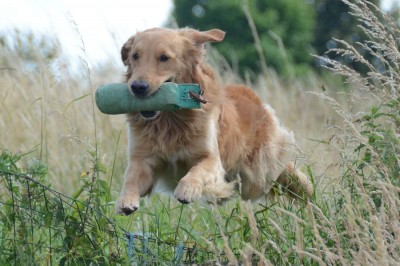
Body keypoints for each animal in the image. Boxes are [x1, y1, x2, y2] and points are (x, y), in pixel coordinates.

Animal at [115, 27, 312, 215]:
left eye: (164, 57)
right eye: (135, 56)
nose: (137, 87)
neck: (170, 121)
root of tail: (258, 102)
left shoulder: (211, 158)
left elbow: (197, 170)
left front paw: (187, 189)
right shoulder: (142, 159)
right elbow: (130, 180)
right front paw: (125, 200)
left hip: (259, 172)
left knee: (287, 172)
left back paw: (310, 194)